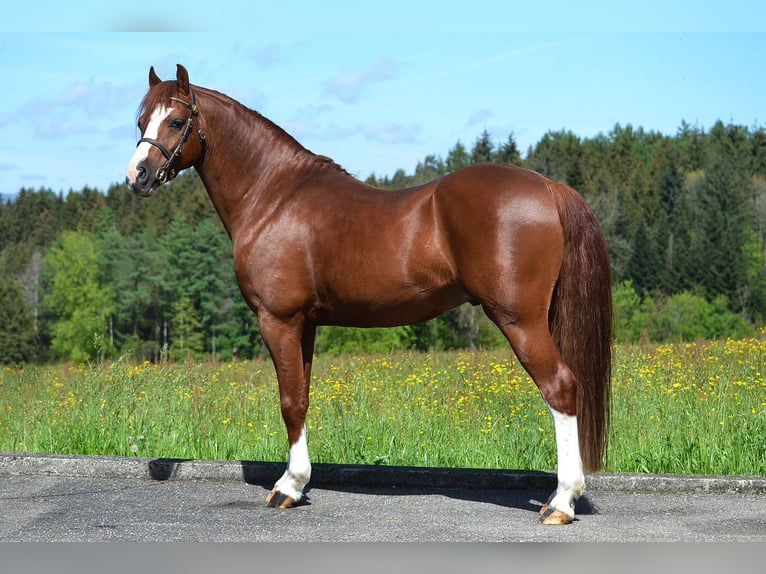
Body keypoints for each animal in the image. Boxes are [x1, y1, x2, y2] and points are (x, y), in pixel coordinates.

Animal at [127, 64, 616, 528]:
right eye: (141, 121)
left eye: (175, 121)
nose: (137, 176)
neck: (274, 196)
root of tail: (548, 187)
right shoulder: (305, 324)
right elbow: (301, 397)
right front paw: (299, 482)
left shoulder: (278, 320)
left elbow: (288, 402)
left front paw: (287, 487)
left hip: (520, 320)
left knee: (560, 387)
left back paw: (561, 502)